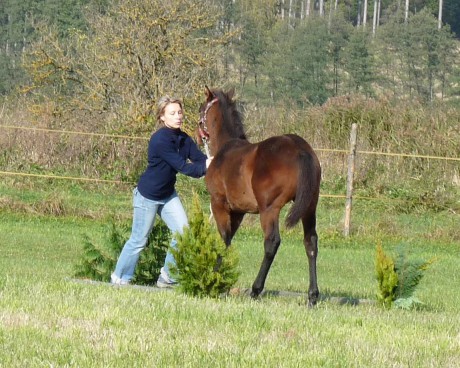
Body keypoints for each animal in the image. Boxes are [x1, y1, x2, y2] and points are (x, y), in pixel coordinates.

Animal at [198, 86, 324, 304]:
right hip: (309, 206)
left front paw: (214, 279)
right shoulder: (239, 212)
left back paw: (256, 289)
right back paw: (312, 296)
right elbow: (229, 239)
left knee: (271, 242)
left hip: (269, 209)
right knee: (311, 242)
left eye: (200, 111)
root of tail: (300, 148)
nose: (199, 136)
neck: (225, 148)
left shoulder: (219, 204)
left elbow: (223, 240)